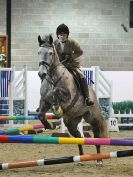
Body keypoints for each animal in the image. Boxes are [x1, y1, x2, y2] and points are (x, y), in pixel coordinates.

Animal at [37, 34, 108, 166]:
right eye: (38, 52)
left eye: (50, 53)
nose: (41, 74)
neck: (53, 77)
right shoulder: (44, 100)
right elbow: (40, 114)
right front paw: (50, 125)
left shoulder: (68, 97)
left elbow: (55, 92)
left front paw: (57, 109)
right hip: (71, 121)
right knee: (78, 136)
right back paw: (81, 158)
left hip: (92, 116)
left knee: (96, 133)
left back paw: (99, 159)